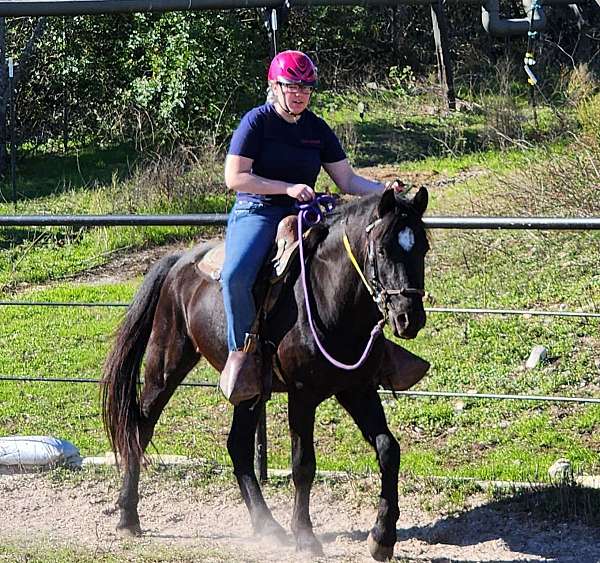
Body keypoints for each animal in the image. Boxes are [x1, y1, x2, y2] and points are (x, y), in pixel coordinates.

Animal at [104, 187, 432, 560]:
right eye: (383, 248)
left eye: (422, 247)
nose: (409, 318)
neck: (326, 296)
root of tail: (177, 262)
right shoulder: (302, 395)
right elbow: (303, 465)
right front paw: (305, 535)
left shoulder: (357, 388)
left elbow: (388, 450)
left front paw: (382, 536)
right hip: (165, 365)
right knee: (141, 427)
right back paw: (128, 516)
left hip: (247, 391)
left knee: (237, 446)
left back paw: (267, 525)